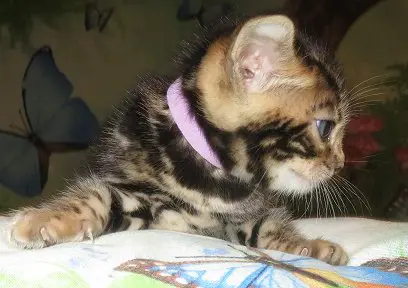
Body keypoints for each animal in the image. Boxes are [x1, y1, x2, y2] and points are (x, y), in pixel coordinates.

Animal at [7, 13, 350, 266]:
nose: (340, 163)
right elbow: (98, 195)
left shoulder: (238, 220)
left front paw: (310, 246)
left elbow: (266, 226)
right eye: (324, 127)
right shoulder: (137, 194)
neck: (213, 181)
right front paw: (46, 218)